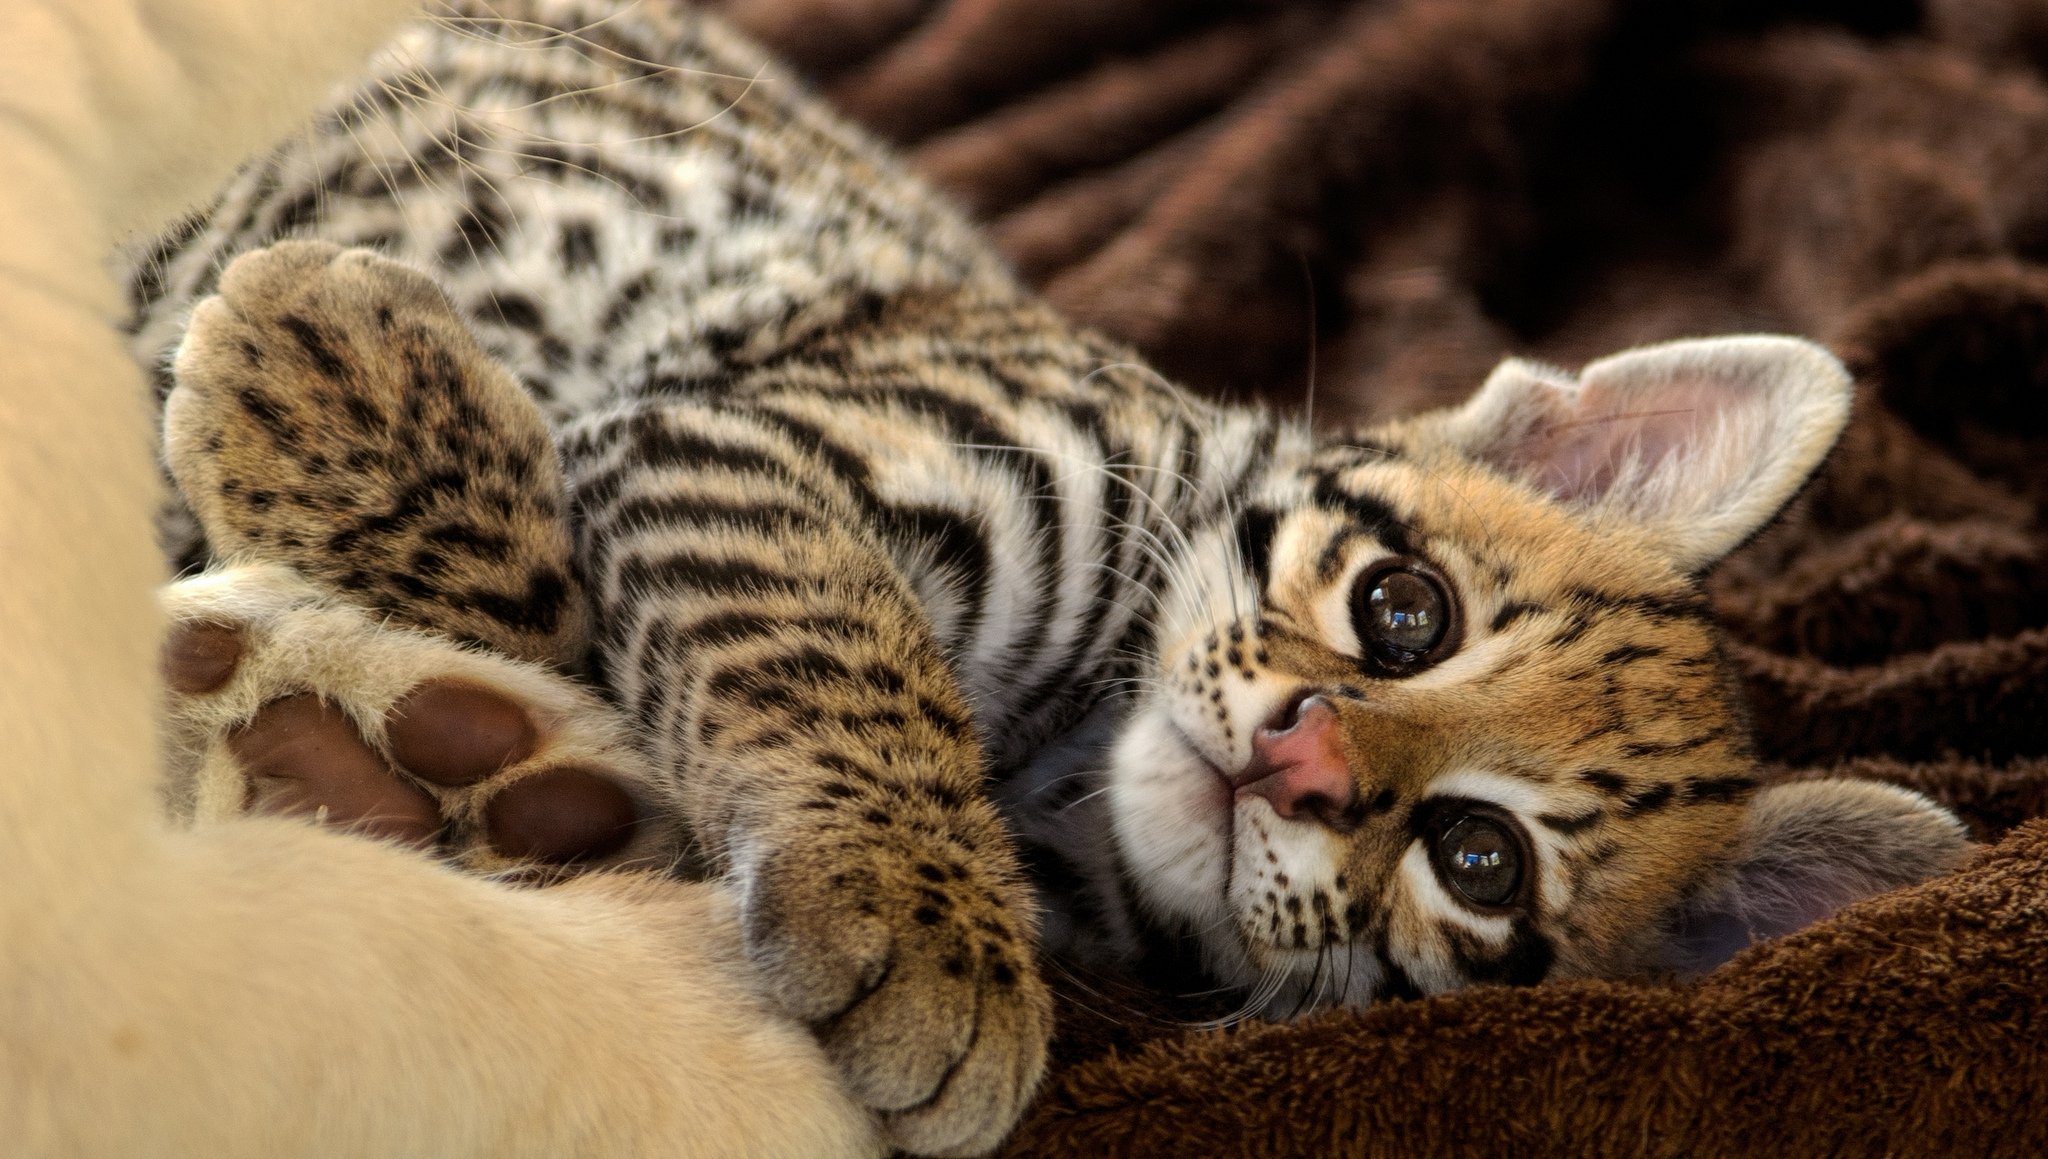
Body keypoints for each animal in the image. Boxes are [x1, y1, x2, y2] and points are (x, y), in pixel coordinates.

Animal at [123, 4, 1966, 1154]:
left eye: (1477, 858)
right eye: (1402, 610)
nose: (1298, 759)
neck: (1061, 770)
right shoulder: (758, 436)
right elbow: (790, 634)